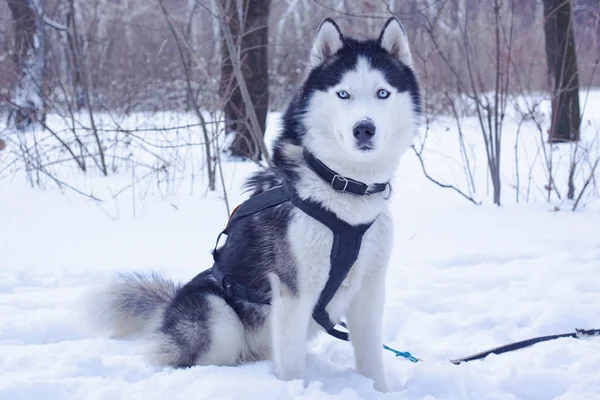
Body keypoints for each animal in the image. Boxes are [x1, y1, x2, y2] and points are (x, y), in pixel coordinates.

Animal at [95, 17, 422, 392]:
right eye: (343, 94)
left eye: (383, 93)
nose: (364, 129)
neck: (344, 189)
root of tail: (166, 311)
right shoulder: (294, 295)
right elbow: (292, 367)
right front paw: (295, 390)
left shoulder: (369, 291)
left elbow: (371, 360)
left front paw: (380, 390)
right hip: (219, 320)